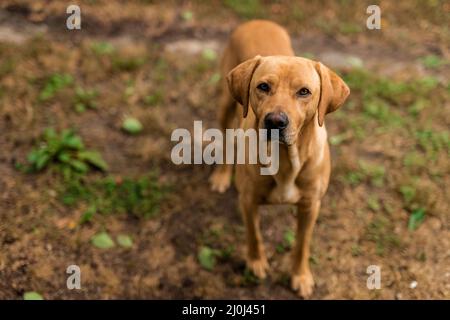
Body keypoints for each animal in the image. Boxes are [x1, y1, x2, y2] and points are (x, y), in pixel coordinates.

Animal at [209, 21, 350, 298]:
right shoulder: (248, 200)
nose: (275, 122)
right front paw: (256, 262)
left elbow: (302, 245)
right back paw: (221, 175)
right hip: (226, 104)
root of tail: (257, 21)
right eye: (263, 86)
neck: (285, 159)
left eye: (304, 92)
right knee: (225, 138)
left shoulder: (311, 206)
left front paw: (300, 276)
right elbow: (254, 235)